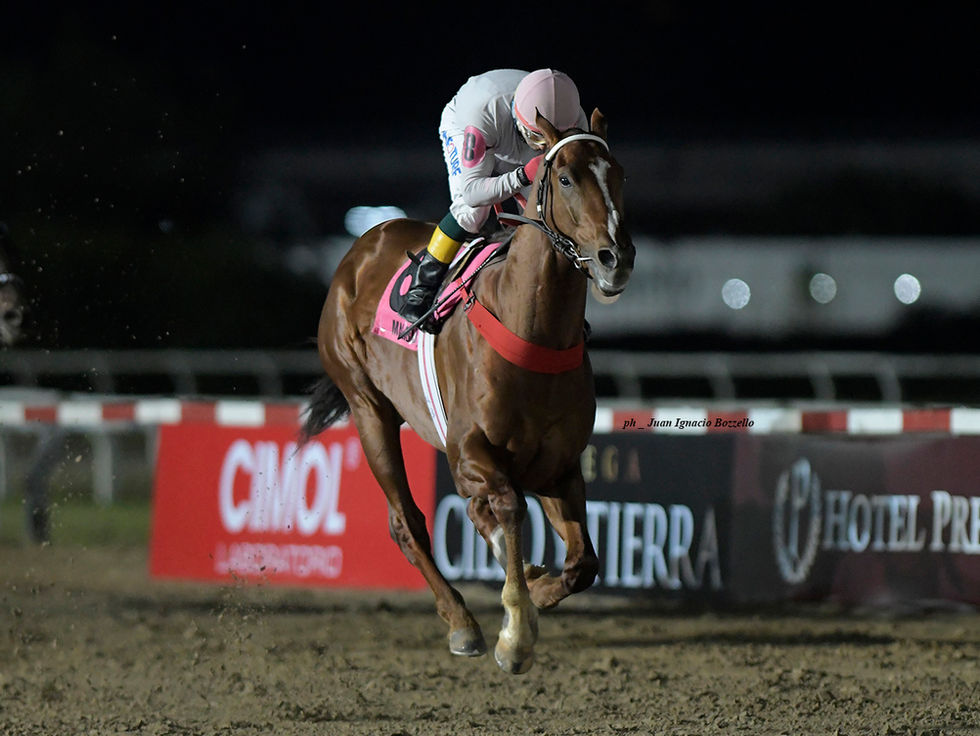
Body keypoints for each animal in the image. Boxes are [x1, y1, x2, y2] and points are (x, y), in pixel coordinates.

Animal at [301, 109, 634, 674]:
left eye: (619, 175)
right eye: (566, 178)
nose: (616, 257)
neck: (532, 330)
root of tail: (363, 246)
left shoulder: (559, 465)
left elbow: (583, 563)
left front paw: (536, 590)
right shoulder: (469, 454)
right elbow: (506, 507)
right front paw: (516, 632)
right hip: (368, 408)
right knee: (406, 522)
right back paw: (462, 623)